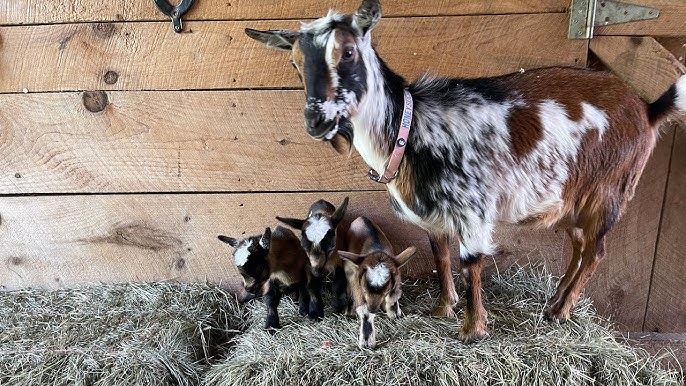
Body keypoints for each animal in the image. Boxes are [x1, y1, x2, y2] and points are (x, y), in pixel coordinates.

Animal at [340, 217, 420, 350]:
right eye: (364, 289)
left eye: (385, 291)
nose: (373, 309)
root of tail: (361, 217)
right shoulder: (358, 281)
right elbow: (364, 312)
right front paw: (367, 342)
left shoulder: (396, 278)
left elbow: (393, 297)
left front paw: (395, 314)